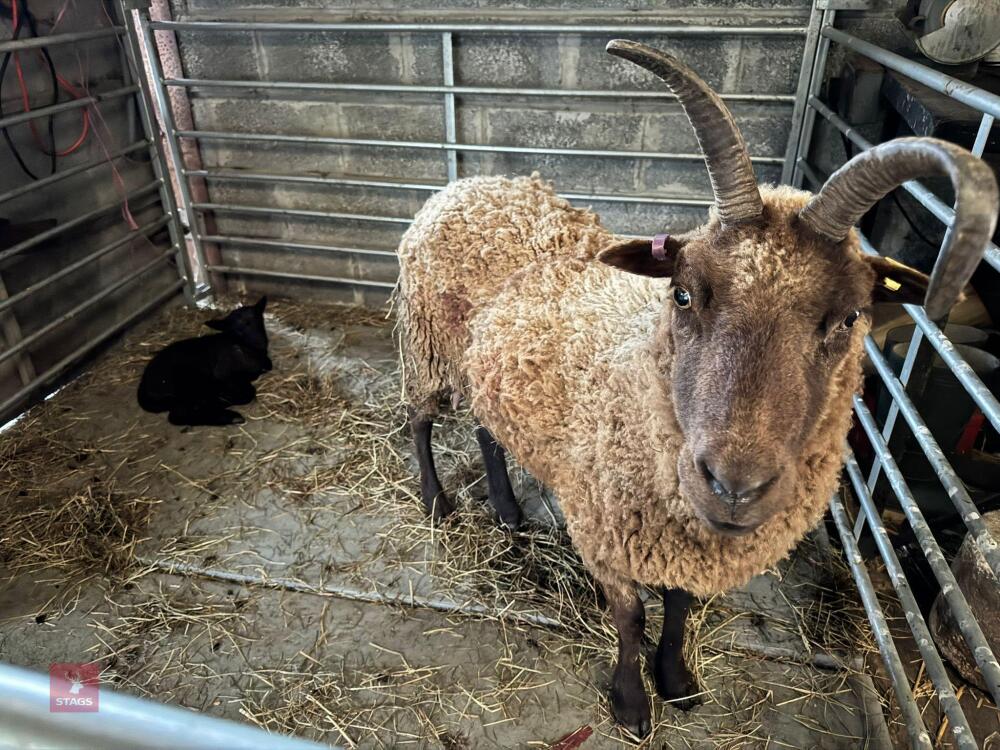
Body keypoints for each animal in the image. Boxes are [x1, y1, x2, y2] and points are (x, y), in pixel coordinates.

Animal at [137, 296, 272, 426]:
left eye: (258, 321)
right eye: (235, 330)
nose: (259, 342)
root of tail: (144, 385)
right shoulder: (222, 375)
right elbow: (248, 392)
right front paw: (227, 398)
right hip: (190, 382)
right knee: (178, 415)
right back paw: (229, 415)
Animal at [395, 40, 998, 737]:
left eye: (850, 318)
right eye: (682, 292)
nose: (733, 487)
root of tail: (471, 185)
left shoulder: (684, 535)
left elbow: (679, 607)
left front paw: (677, 681)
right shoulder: (608, 526)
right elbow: (630, 617)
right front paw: (632, 703)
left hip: (486, 366)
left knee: (487, 428)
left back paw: (508, 509)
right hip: (428, 345)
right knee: (420, 419)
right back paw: (437, 501)